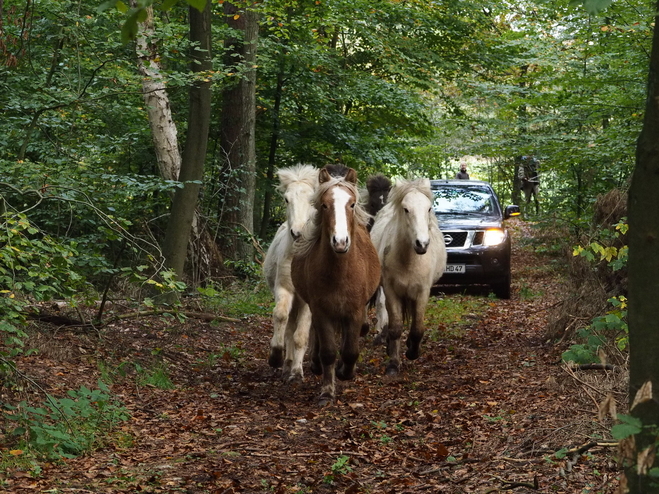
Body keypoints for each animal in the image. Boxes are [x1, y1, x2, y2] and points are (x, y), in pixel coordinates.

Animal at [262, 164, 320, 380]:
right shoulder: (284, 289)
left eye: (312, 200)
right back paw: (286, 363)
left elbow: (301, 335)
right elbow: (280, 317)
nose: (297, 233)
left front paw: (297, 372)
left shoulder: (308, 300)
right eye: (287, 199)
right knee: (288, 327)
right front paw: (276, 357)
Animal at [290, 166, 378, 406]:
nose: (340, 242)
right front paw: (327, 391)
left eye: (352, 204)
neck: (340, 273)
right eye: (324, 205)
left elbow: (350, 351)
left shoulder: (355, 311)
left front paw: (345, 371)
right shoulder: (321, 311)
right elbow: (328, 351)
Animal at [372, 178, 448, 374]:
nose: (422, 244)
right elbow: (396, 327)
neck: (409, 260)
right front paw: (393, 364)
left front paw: (412, 352)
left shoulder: (422, 292)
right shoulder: (391, 291)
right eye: (406, 209)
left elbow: (417, 328)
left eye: (428, 208)